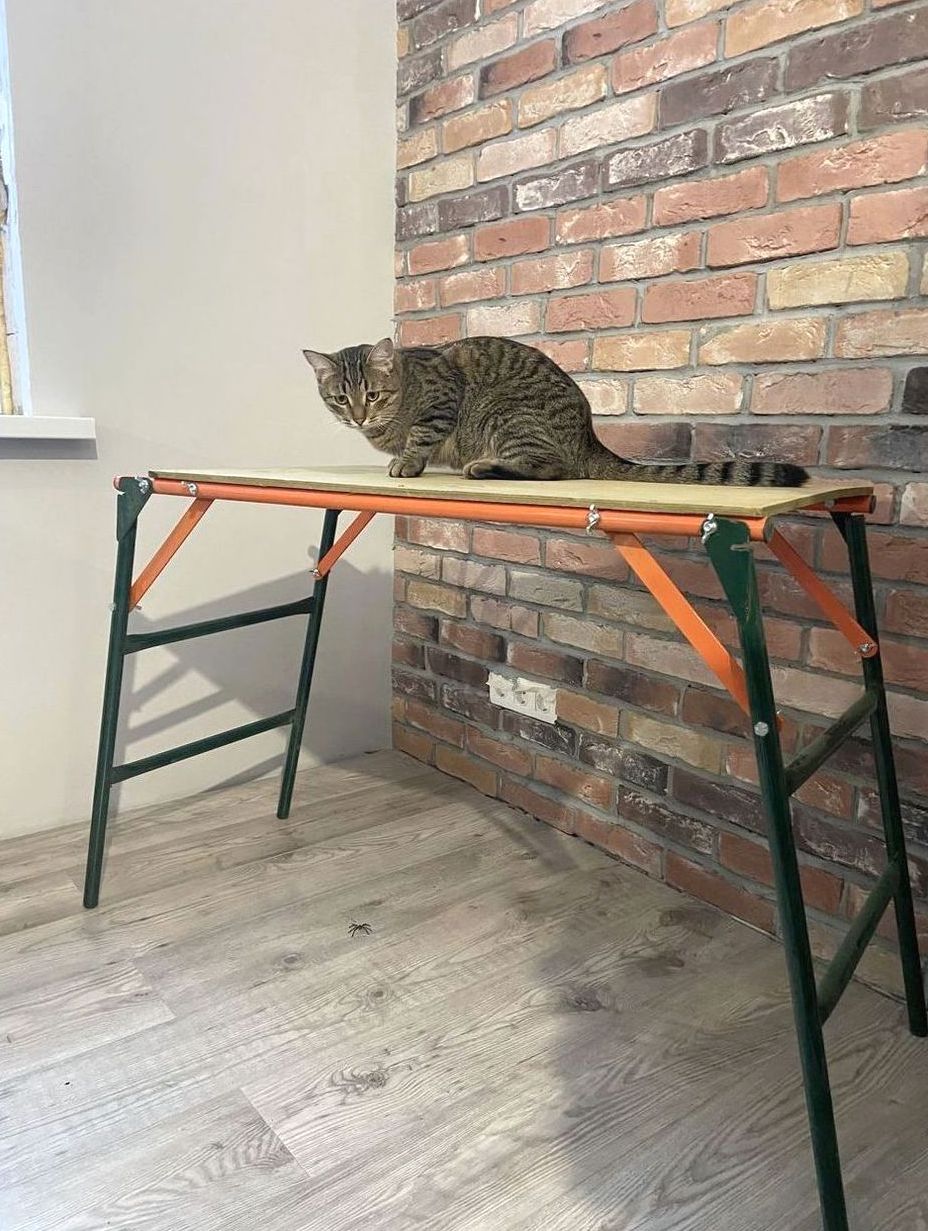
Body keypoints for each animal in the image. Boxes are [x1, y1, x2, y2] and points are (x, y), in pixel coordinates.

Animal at [303, 336, 808, 488]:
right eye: (340, 398)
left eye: (373, 395)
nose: (358, 417)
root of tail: (589, 438)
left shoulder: (443, 400)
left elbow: (420, 438)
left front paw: (406, 462)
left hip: (505, 413)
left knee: (552, 468)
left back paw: (484, 467)